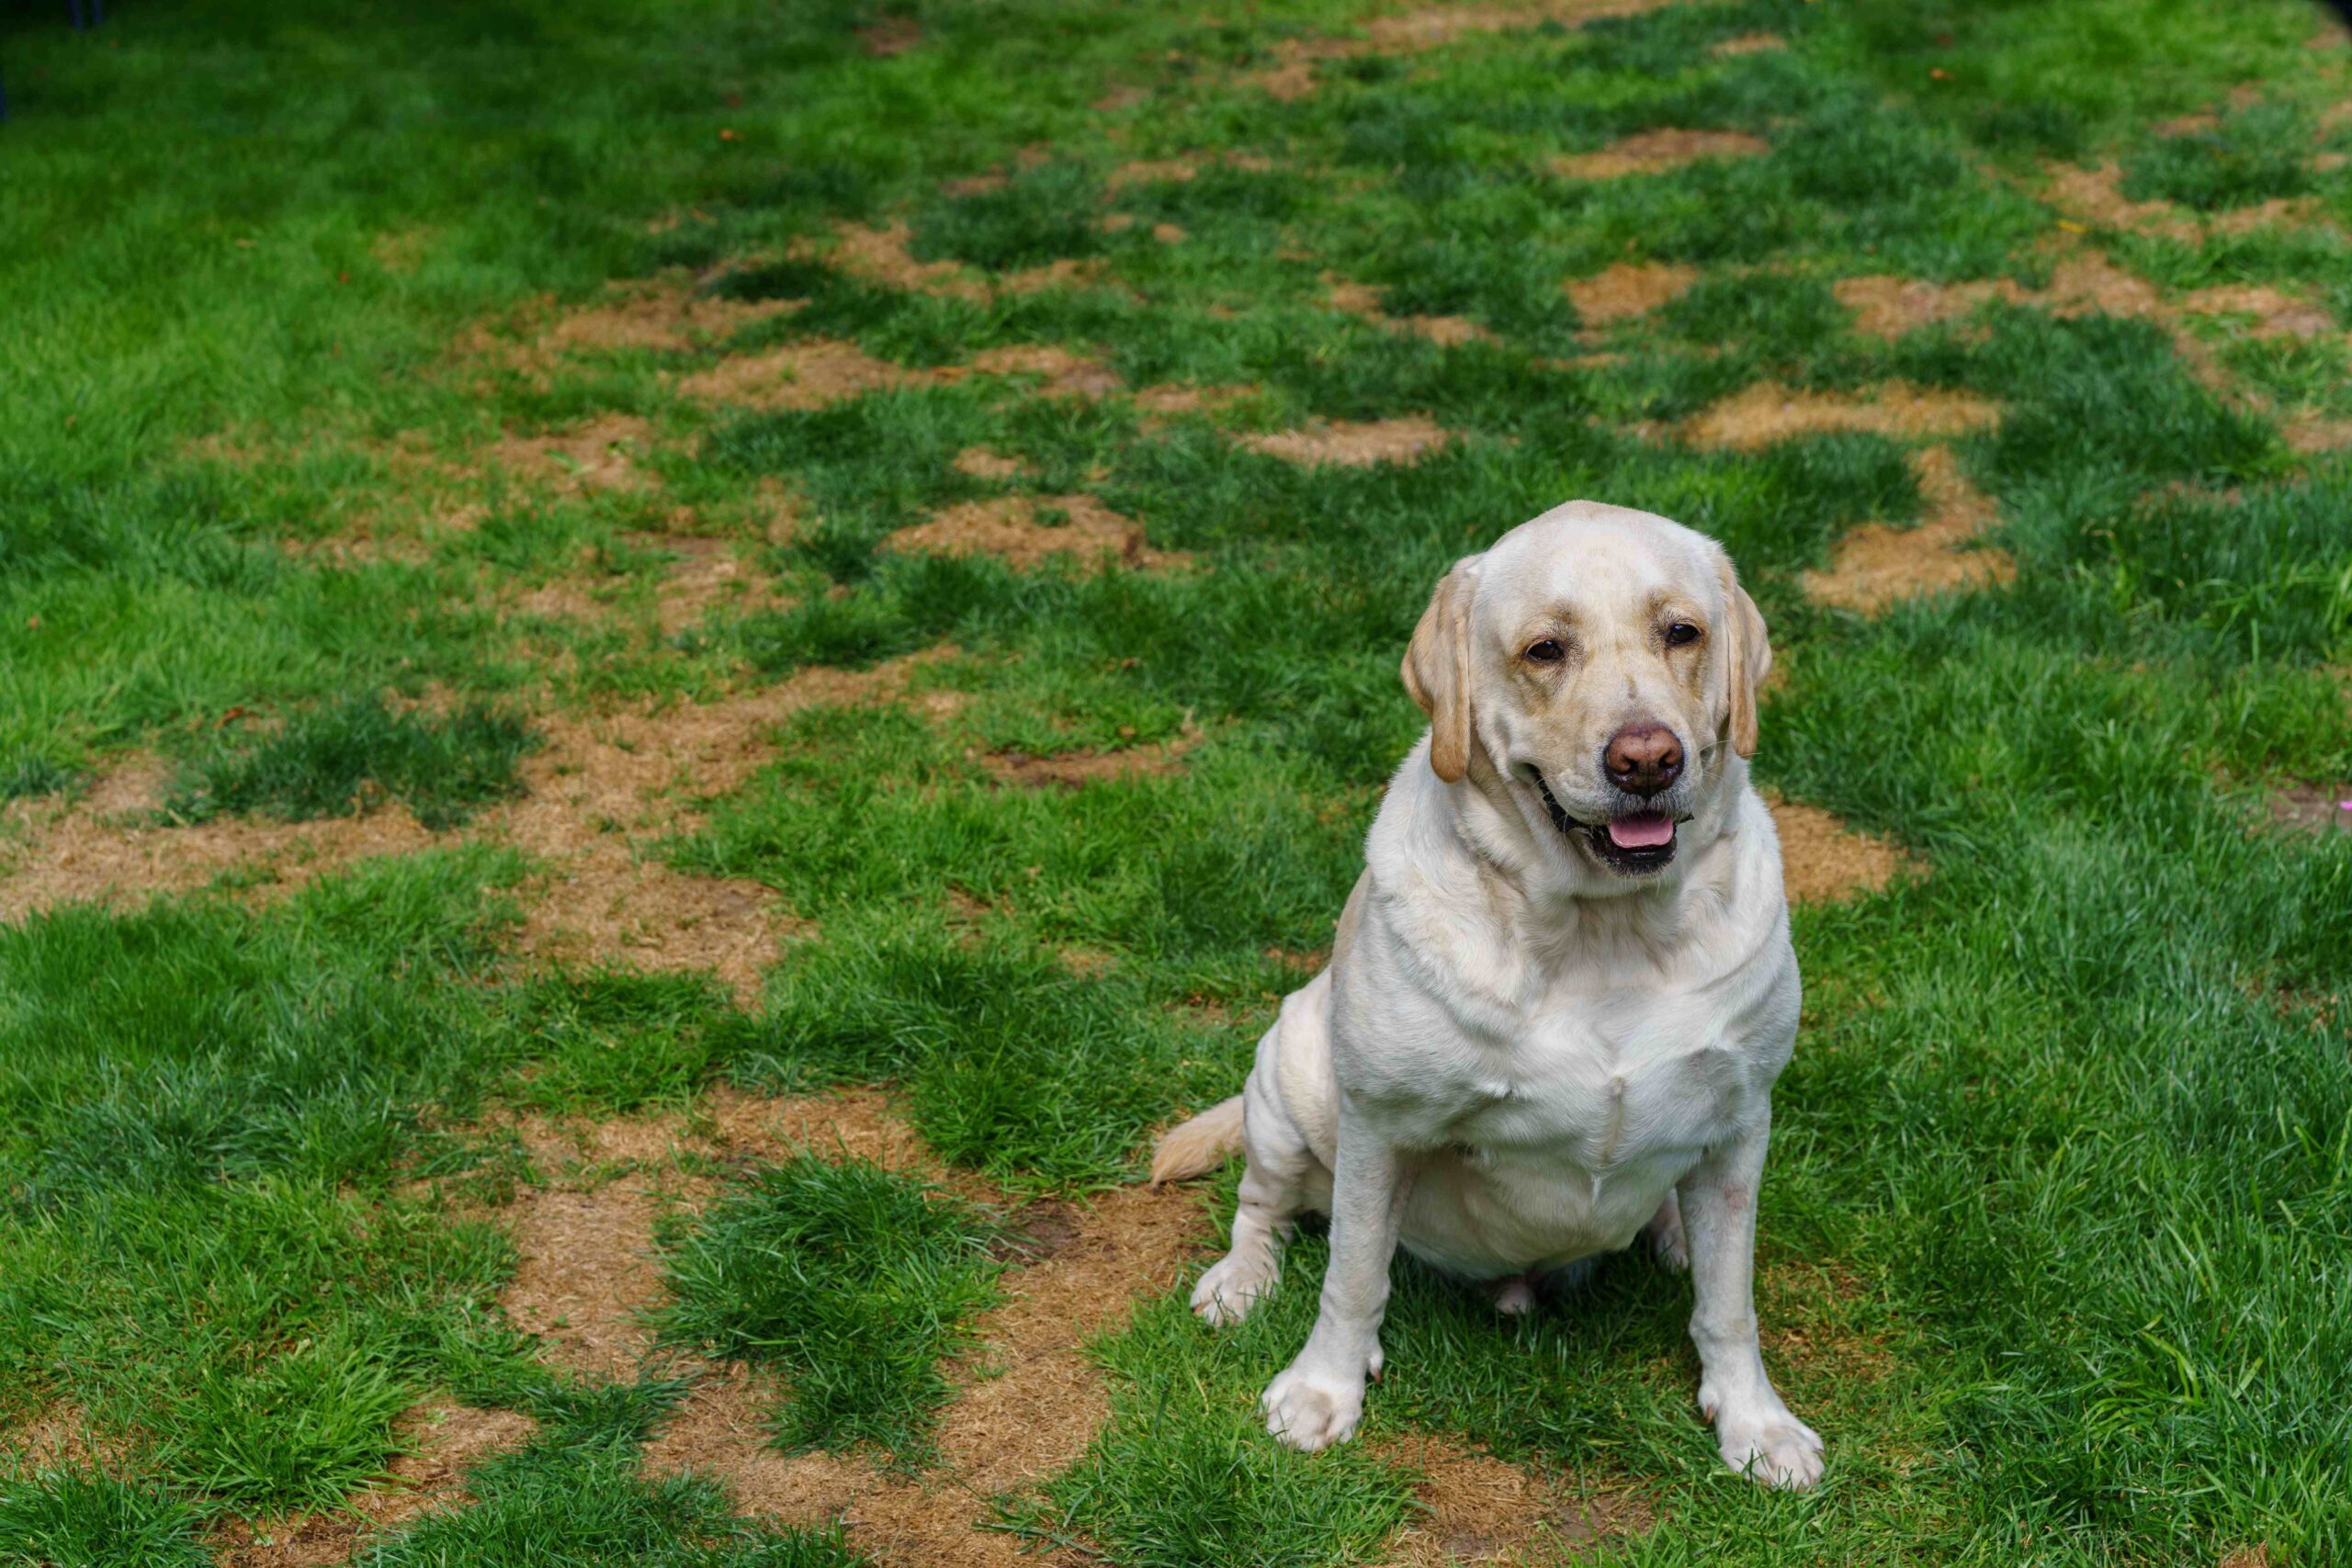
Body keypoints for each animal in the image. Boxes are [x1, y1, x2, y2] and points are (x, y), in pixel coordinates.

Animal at [1152, 495, 1815, 1495]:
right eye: (1544, 649)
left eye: (1682, 632)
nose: (1647, 759)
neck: (1603, 932)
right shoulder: (1382, 1125)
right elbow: (1353, 1273)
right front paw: (1322, 1391)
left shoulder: (1741, 1124)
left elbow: (1729, 1304)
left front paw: (1755, 1422)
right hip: (1290, 1073)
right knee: (1264, 1203)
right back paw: (1241, 1281)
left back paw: (1671, 1233)